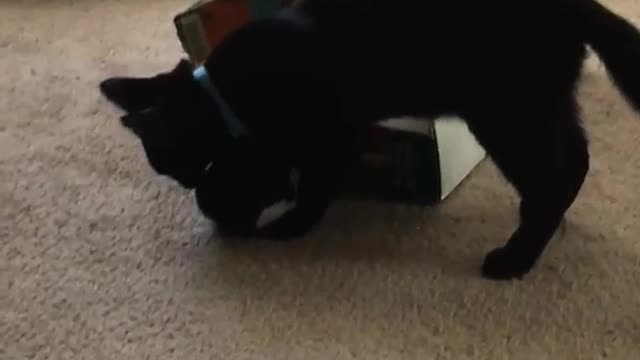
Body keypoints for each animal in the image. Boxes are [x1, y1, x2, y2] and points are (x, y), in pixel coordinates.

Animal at [99, 0, 640, 280]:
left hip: (507, 112)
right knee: (575, 160)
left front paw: (281, 222)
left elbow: (308, 183)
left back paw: (514, 258)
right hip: (541, 105)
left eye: (165, 159)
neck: (225, 91)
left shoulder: (321, 135)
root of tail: (574, 5)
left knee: (555, 177)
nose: (183, 180)